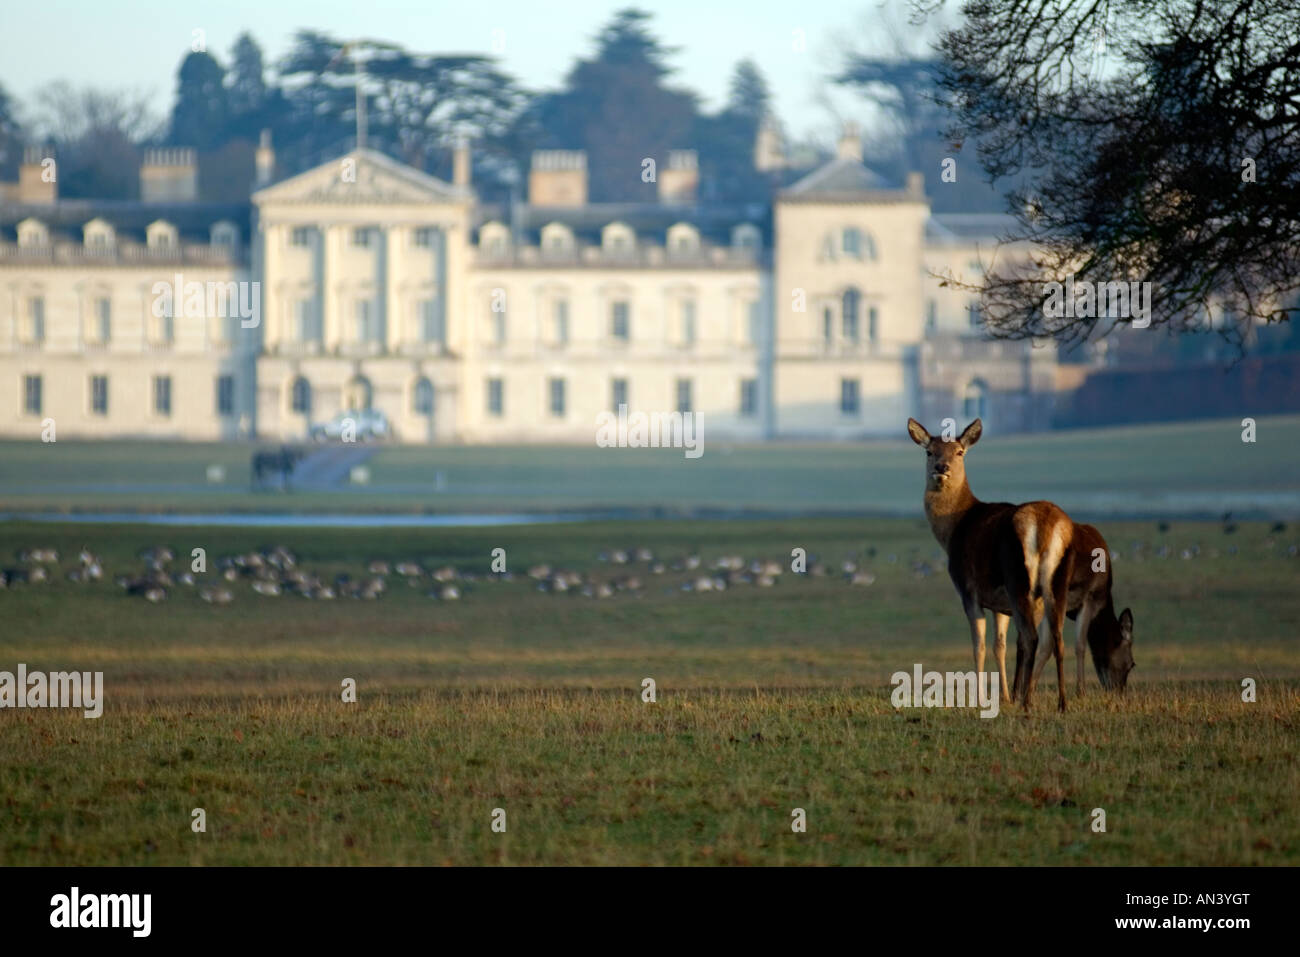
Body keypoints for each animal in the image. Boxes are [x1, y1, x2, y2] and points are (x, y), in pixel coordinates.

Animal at [907, 417, 1075, 711]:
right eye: (929, 452)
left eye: (959, 452)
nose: (941, 468)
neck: (952, 530)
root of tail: (1047, 525)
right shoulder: (999, 603)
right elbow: (1000, 645)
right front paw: (1006, 696)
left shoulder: (969, 589)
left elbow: (980, 645)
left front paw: (980, 698)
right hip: (1055, 584)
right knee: (1056, 638)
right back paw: (1059, 703)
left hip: (1018, 579)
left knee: (1032, 637)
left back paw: (1027, 701)